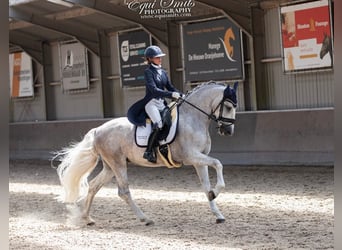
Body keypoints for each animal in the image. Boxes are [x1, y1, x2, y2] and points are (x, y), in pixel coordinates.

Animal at [55, 81, 238, 225]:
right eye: (229, 107)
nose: (228, 131)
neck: (193, 118)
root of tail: (97, 130)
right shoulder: (191, 156)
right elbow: (218, 163)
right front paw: (216, 192)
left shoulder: (198, 160)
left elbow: (206, 186)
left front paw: (217, 212)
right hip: (118, 164)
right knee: (123, 191)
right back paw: (145, 218)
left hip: (110, 167)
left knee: (94, 186)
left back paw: (87, 218)